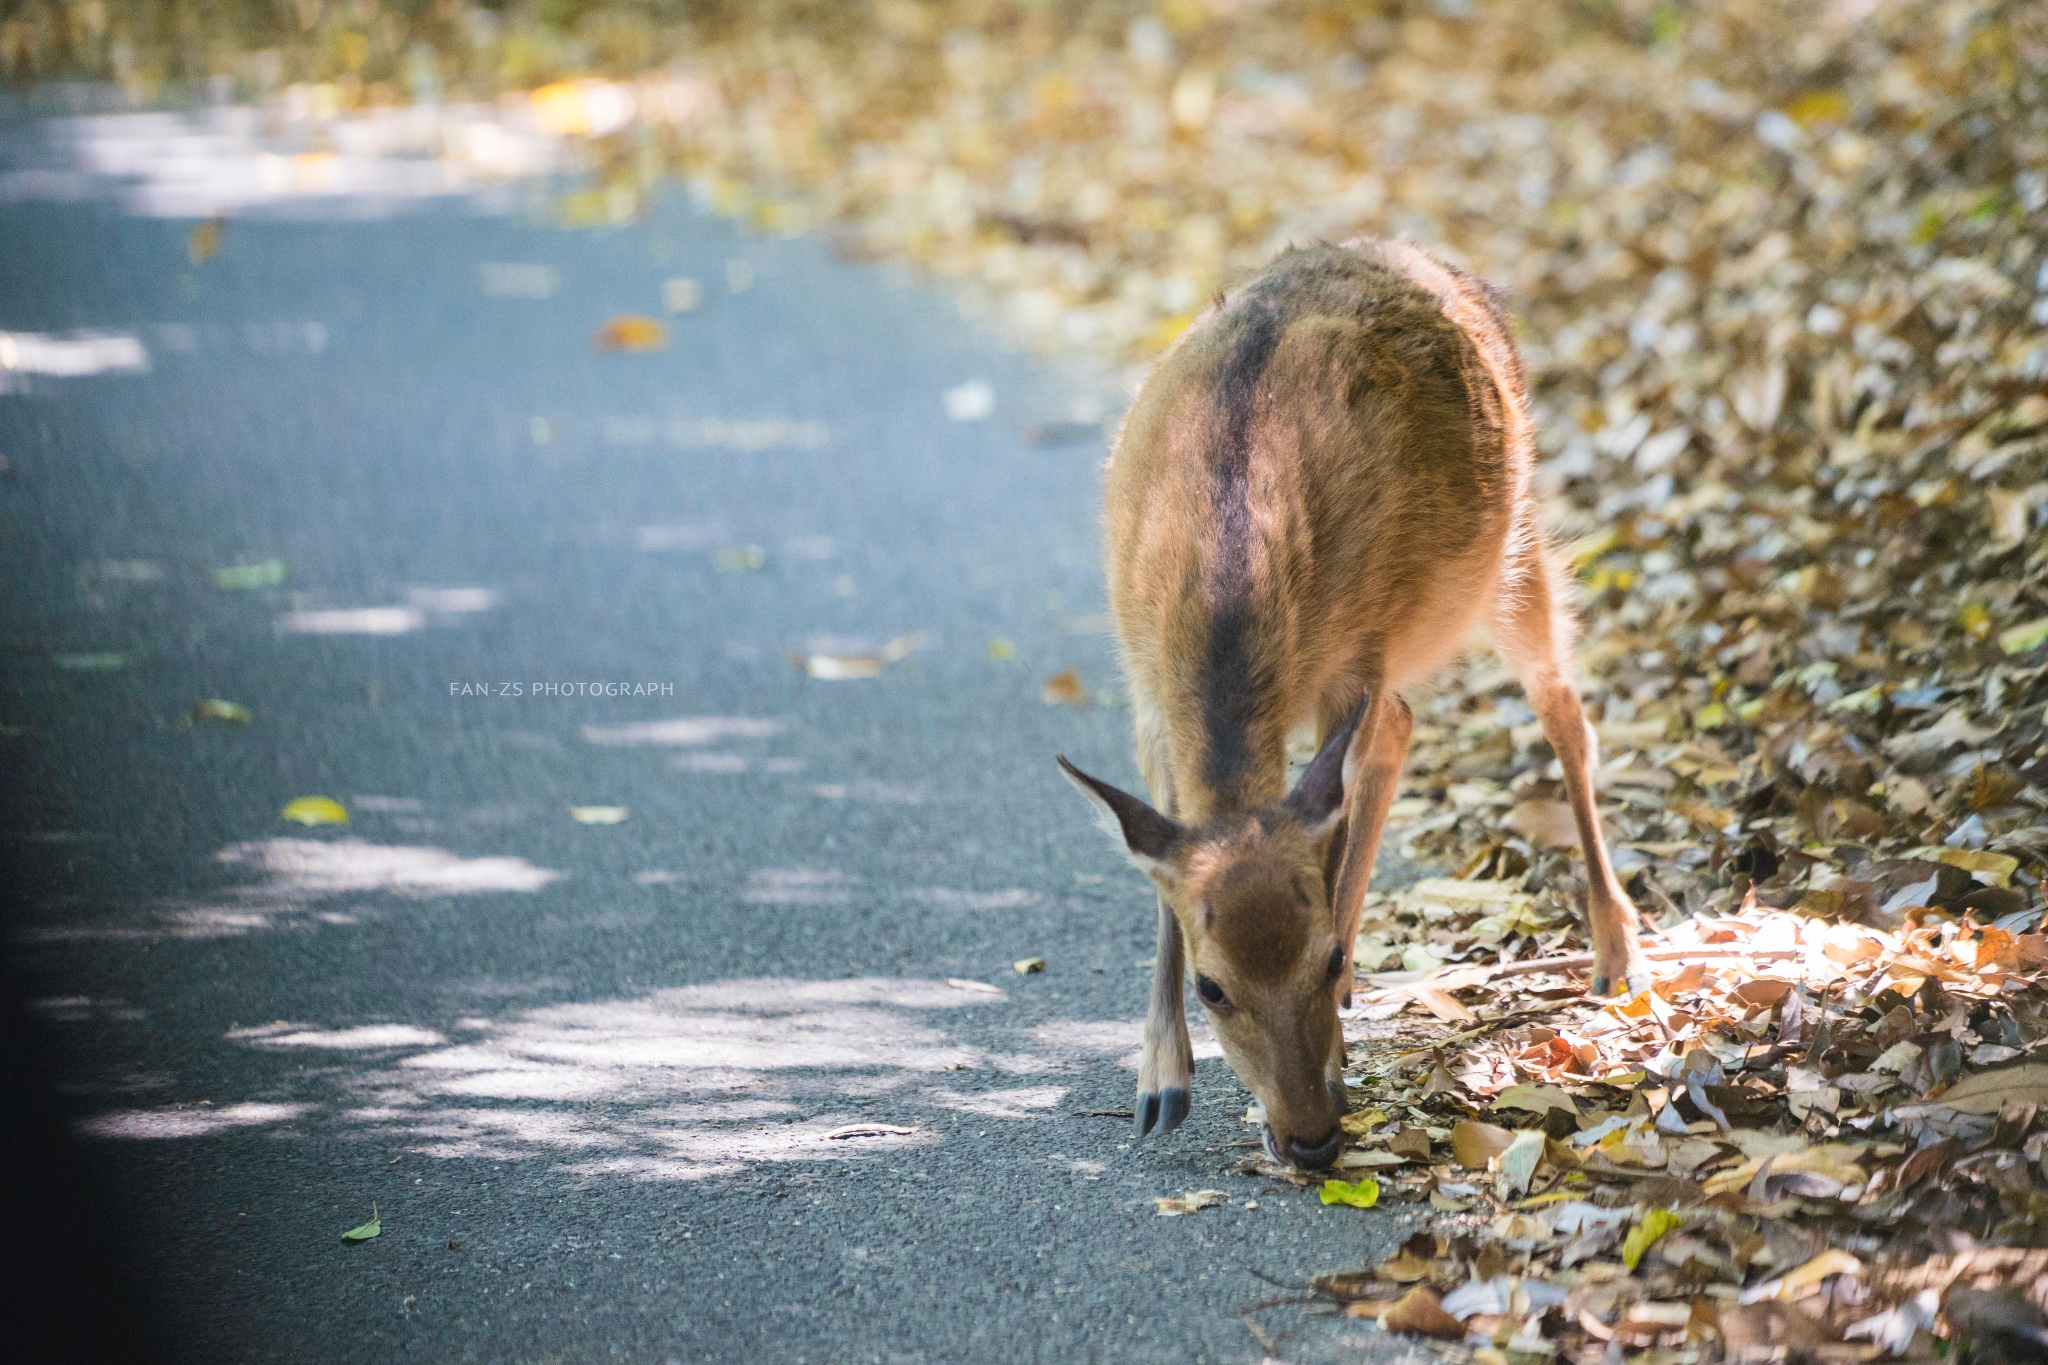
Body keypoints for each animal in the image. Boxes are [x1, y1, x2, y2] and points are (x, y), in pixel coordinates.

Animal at [1056, 240, 1646, 1170]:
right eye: (1211, 985)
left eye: (1327, 959)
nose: (1311, 1141)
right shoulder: (1145, 689)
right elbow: (1164, 861)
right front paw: (1159, 1084)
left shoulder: (1353, 659)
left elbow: (1331, 847)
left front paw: (1331, 1060)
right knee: (1405, 726)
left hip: (1510, 554)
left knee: (1561, 710)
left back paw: (1617, 950)